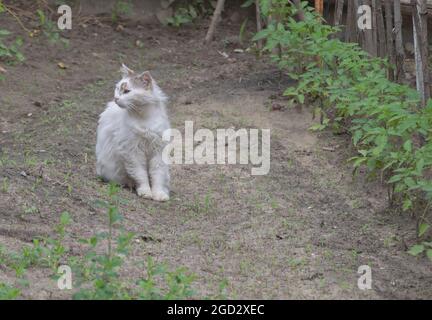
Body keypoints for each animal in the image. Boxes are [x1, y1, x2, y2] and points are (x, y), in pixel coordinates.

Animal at [96, 63, 170, 201]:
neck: (143, 118)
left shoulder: (157, 151)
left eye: (126, 91)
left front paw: (159, 194)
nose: (116, 98)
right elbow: (141, 175)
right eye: (118, 89)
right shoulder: (132, 152)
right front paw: (145, 192)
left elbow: (157, 175)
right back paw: (130, 184)